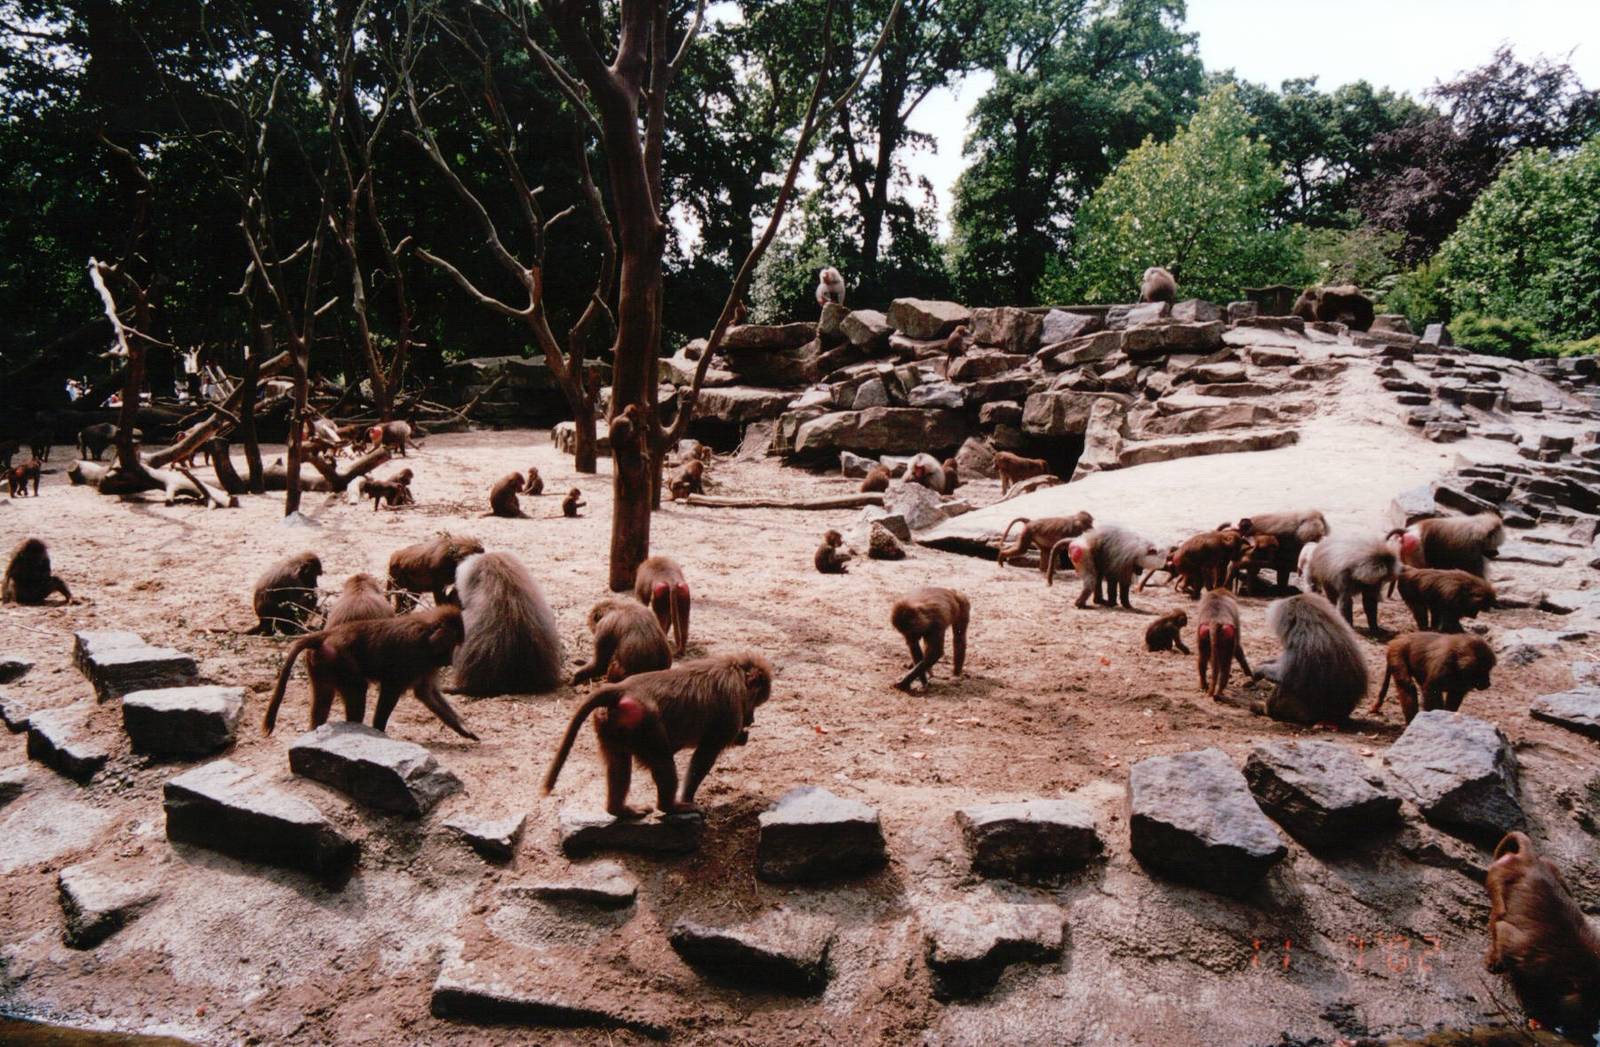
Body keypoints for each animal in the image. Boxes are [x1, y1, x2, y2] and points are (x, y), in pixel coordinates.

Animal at [262, 604, 476, 740]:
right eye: (452, 645)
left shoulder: (426, 664)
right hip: (339, 659)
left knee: (324, 699)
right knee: (358, 689)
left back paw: (315, 731)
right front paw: (379, 731)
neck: (427, 636)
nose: (449, 661)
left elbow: (426, 693)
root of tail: (328, 634)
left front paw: (465, 729)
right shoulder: (412, 657)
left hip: (321, 663)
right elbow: (391, 690)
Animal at [543, 652, 774, 818]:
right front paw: (687, 798)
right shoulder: (731, 708)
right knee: (662, 761)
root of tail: (623, 688)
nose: (751, 720)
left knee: (619, 763)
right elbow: (704, 755)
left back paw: (620, 810)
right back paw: (671, 807)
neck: (734, 670)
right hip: (646, 722)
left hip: (609, 723)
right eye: (755, 702)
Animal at [1251, 593, 1367, 725]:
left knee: (1285, 685)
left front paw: (1260, 669)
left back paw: (1263, 709)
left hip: (1304, 713)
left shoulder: (1302, 645)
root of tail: (1338, 717)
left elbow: (1283, 676)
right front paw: (1266, 662)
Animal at [1483, 831, 1600, 1039]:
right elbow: (1504, 933)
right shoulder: (1524, 951)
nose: (1594, 1030)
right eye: (1589, 1011)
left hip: (1551, 867)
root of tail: (1528, 858)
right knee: (1498, 908)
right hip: (1499, 873)